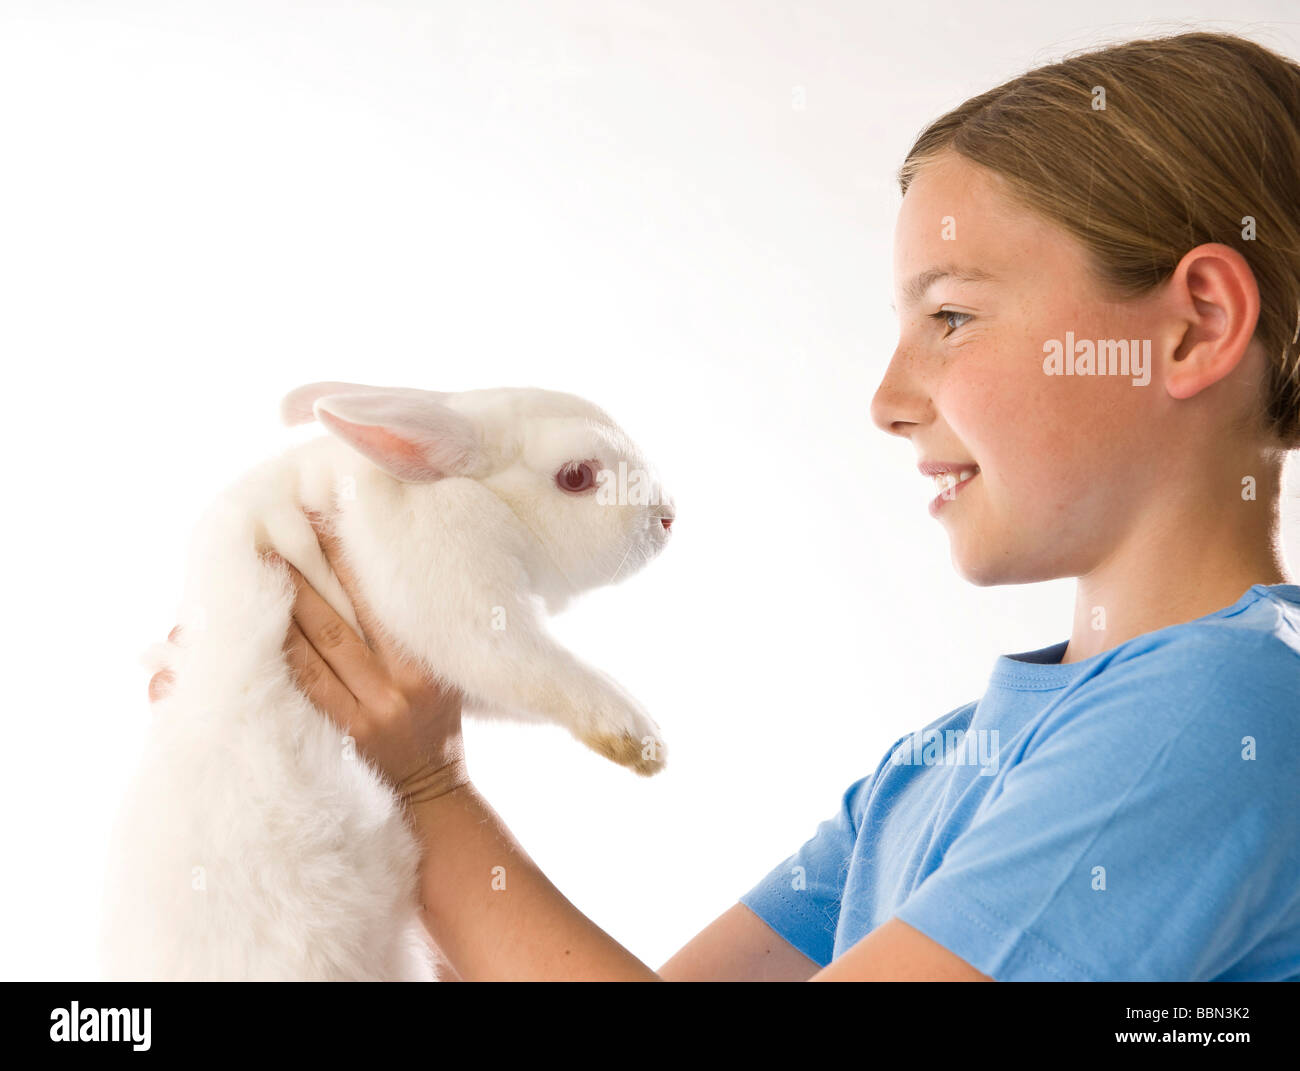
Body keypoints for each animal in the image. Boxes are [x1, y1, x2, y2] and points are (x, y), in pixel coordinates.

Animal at [99, 381, 676, 981]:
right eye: (576, 476)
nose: (667, 518)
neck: (476, 496)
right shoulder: (460, 592)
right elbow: (537, 669)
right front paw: (641, 739)